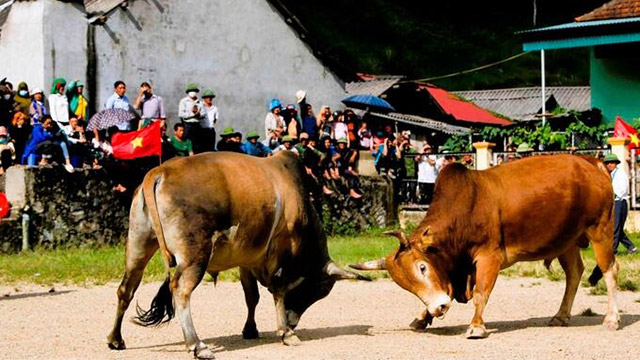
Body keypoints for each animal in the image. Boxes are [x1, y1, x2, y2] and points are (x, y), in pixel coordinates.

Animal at [106, 150, 364, 358]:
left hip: (139, 244)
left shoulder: (246, 261)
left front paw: (251, 329)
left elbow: (252, 297)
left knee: (126, 289)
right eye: (318, 289)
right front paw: (286, 333)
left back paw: (116, 339)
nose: (293, 322)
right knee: (180, 291)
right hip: (194, 256)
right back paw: (197, 344)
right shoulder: (281, 252)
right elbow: (278, 290)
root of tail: (160, 171)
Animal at [356, 155, 620, 338]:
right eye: (405, 285)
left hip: (601, 231)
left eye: (422, 267)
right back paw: (561, 315)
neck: (467, 206)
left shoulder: (489, 257)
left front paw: (476, 326)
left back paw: (612, 318)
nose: (439, 307)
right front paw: (423, 316)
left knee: (610, 271)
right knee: (574, 273)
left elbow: (481, 293)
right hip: (567, 241)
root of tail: (593, 163)